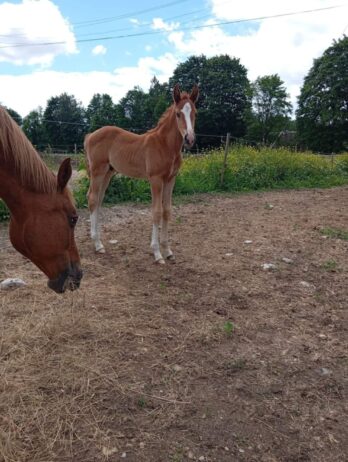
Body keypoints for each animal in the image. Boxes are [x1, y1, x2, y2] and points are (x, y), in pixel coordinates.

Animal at [85, 83, 198, 264]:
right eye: (178, 113)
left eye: (195, 113)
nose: (189, 139)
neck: (164, 145)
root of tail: (90, 135)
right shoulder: (156, 179)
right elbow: (157, 212)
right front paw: (157, 253)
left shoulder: (170, 179)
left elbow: (167, 211)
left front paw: (168, 251)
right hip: (97, 171)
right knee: (93, 198)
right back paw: (97, 244)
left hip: (108, 173)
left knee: (99, 200)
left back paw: (99, 242)